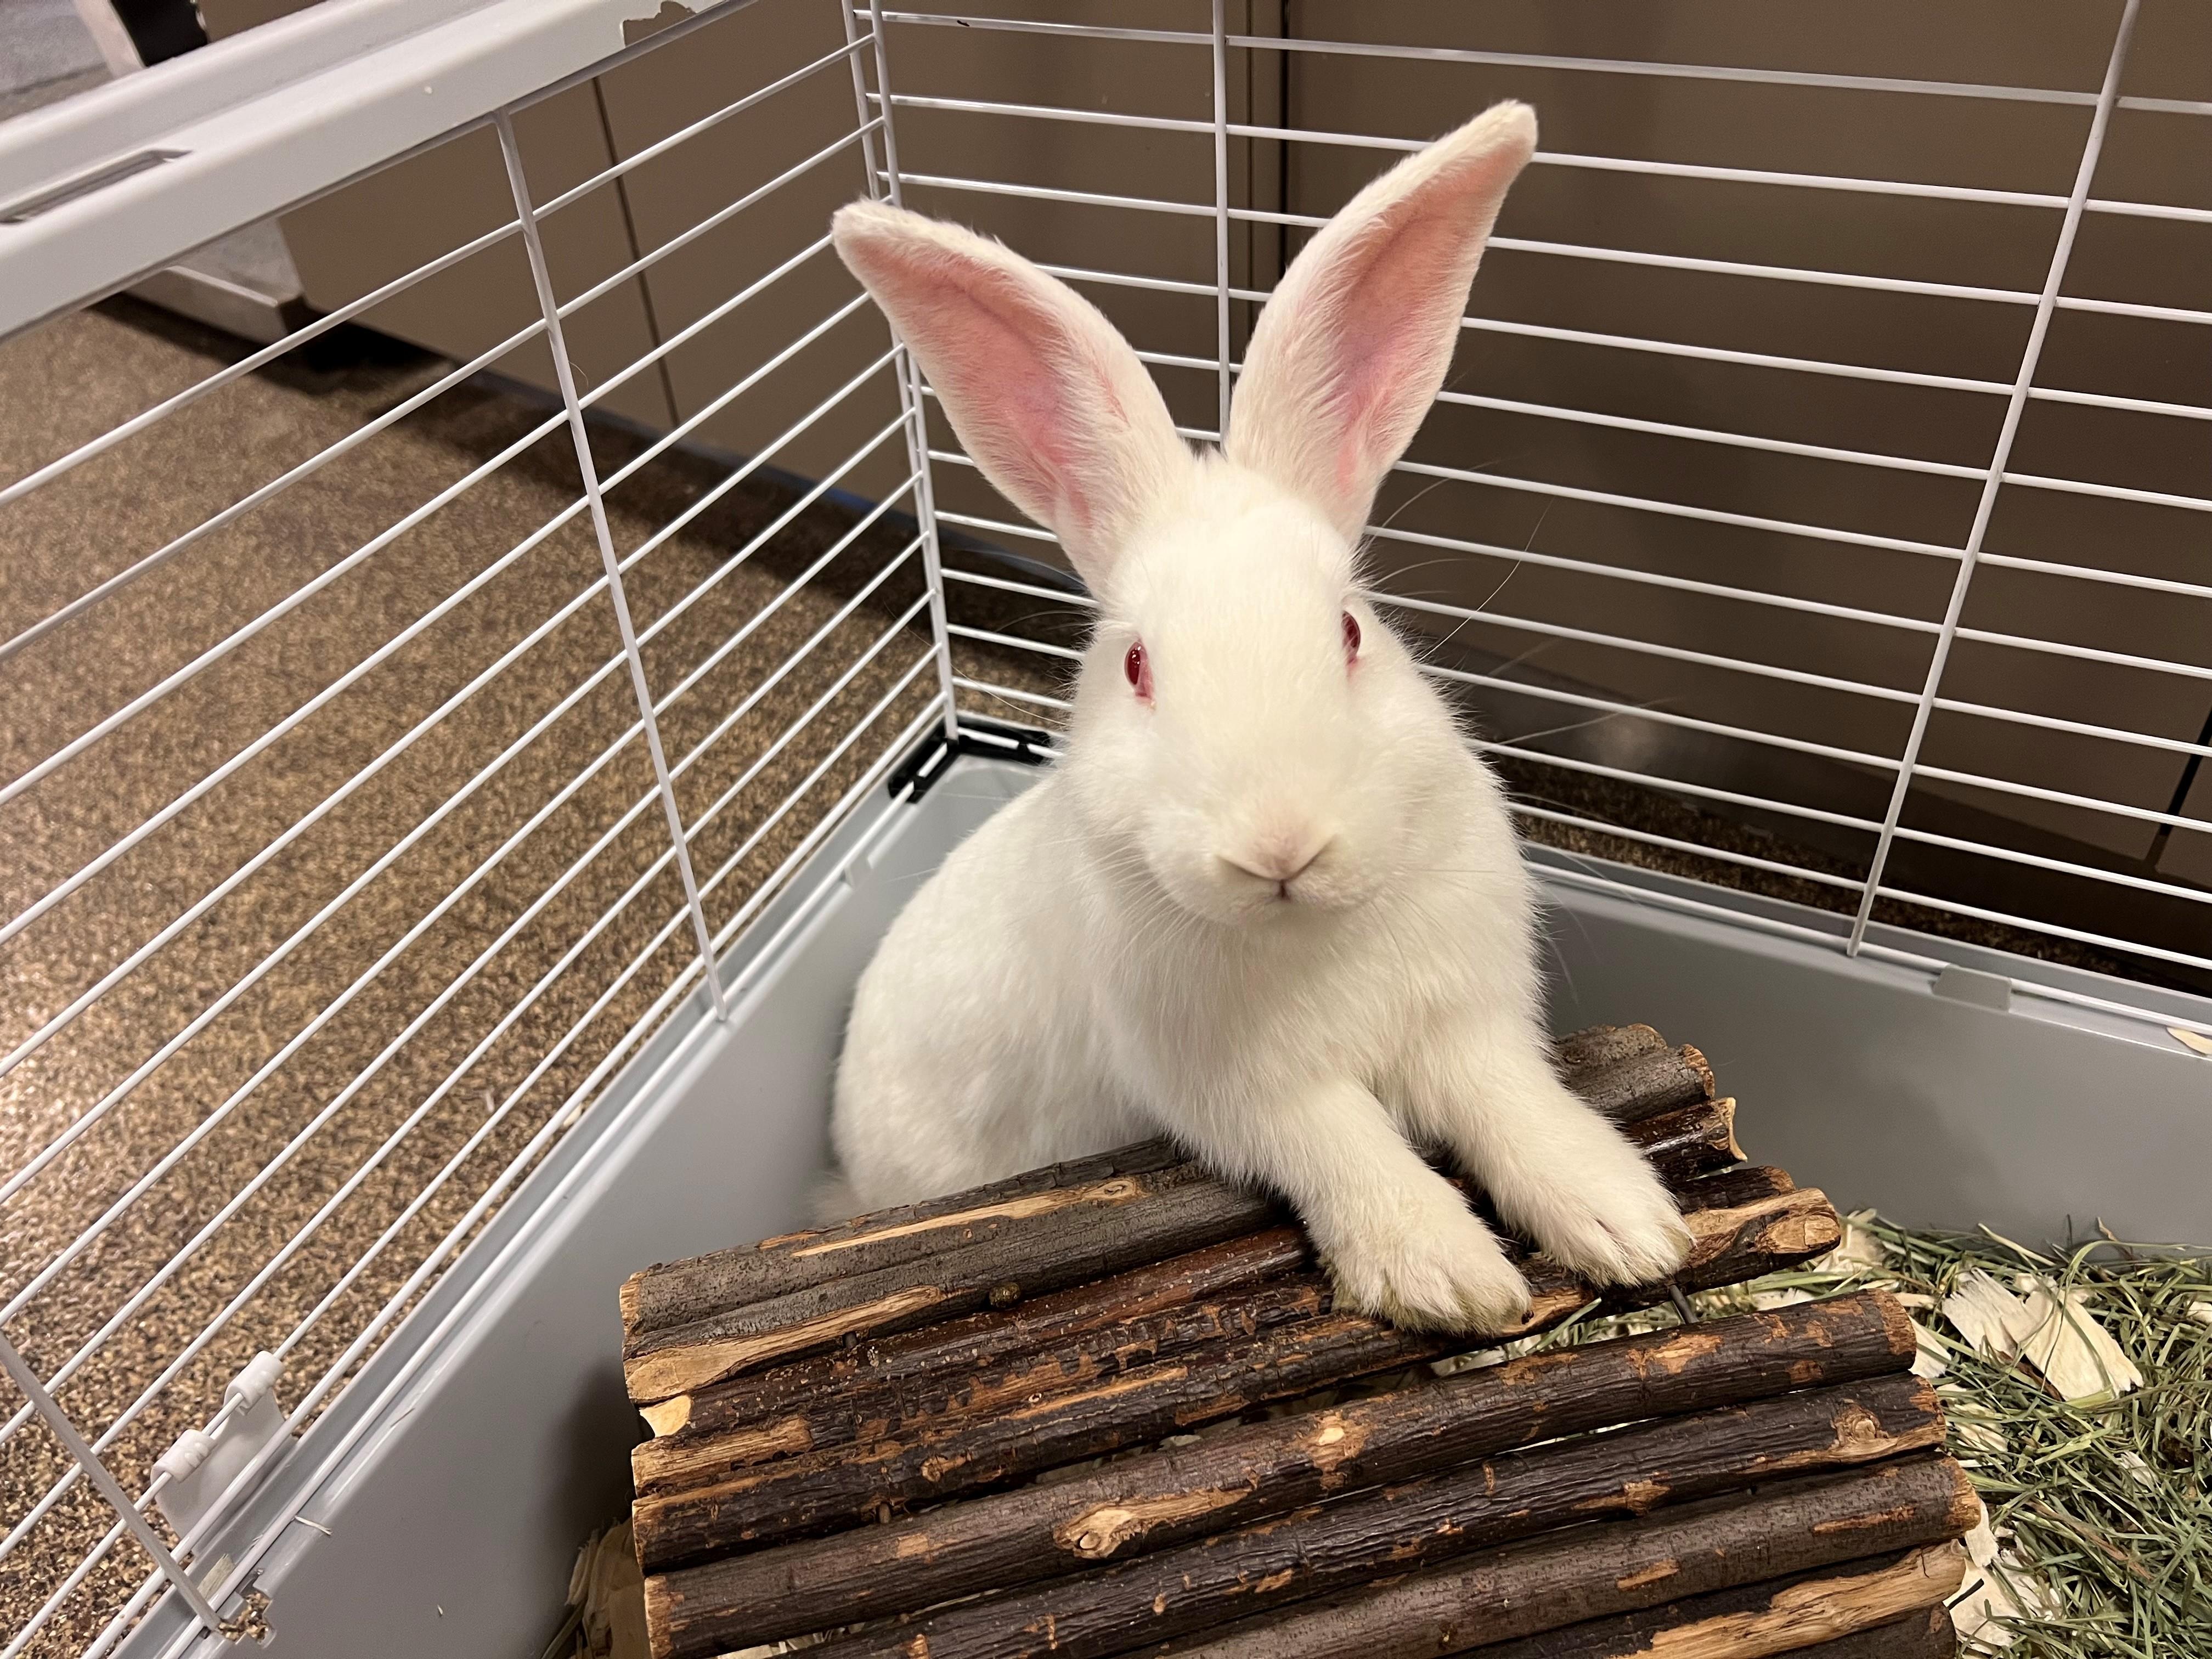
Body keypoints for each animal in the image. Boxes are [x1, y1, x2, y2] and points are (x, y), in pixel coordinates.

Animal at [826, 102, 1693, 1333]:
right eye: (1136, 664)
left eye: (1351, 632)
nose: (1279, 847)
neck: (1308, 933)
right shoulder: (1252, 1095)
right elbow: (1350, 1151)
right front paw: (1450, 1281)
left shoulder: (1468, 1020)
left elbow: (1513, 1104)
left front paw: (1629, 1226)